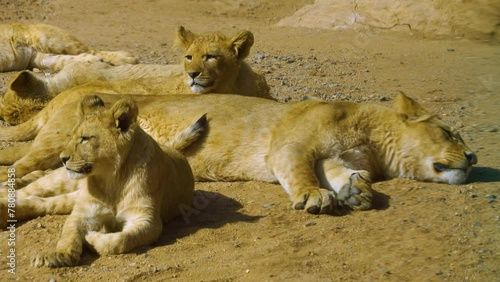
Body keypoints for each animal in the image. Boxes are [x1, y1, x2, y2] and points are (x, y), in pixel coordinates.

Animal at [0, 23, 139, 72]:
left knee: (90, 50)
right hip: (37, 58)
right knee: (61, 60)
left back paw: (127, 58)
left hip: (49, 38)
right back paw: (93, 61)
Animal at [0, 92, 478, 216]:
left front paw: (354, 193)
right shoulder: (289, 145)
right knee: (20, 168)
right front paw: (315, 197)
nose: (473, 158)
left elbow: (337, 171)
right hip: (54, 146)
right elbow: (301, 172)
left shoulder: (335, 155)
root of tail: (63, 95)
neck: (374, 143)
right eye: (449, 131)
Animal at [4, 94, 199, 266]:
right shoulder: (84, 212)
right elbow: (69, 233)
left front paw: (94, 237)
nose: (62, 158)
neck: (112, 180)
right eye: (71, 137)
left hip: (71, 198)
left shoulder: (147, 219)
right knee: (29, 190)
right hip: (60, 181)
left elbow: (123, 239)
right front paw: (58, 255)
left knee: (43, 202)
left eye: (85, 138)